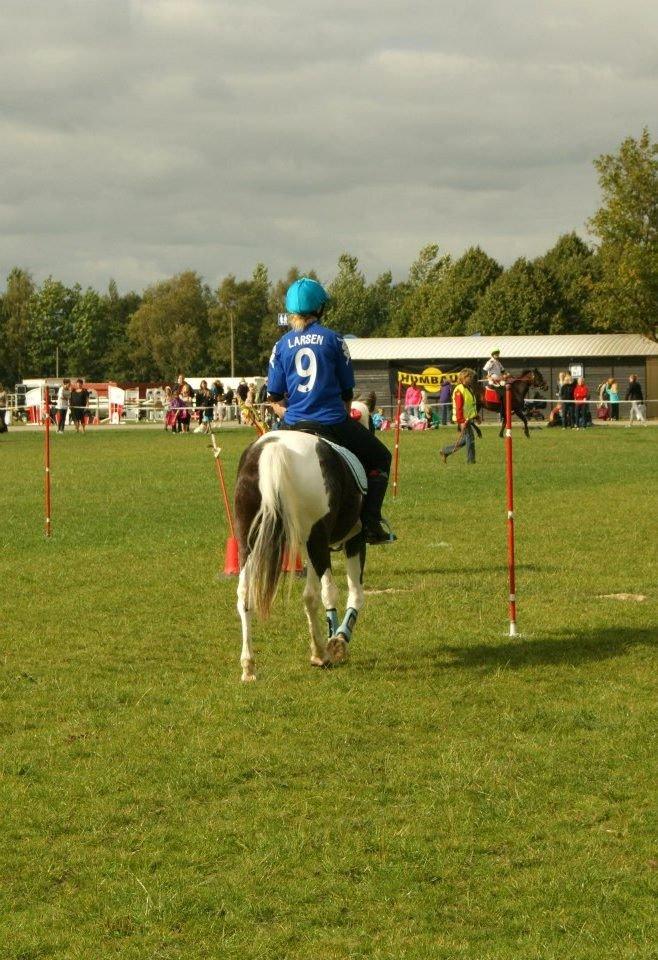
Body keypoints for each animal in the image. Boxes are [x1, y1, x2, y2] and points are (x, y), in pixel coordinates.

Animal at [232, 428, 366, 684]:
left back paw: (248, 666)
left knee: (244, 596)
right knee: (328, 591)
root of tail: (275, 447)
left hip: (248, 541)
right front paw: (338, 640)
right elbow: (353, 591)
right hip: (318, 538)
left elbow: (309, 596)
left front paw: (320, 649)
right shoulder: (354, 537)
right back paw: (332, 645)